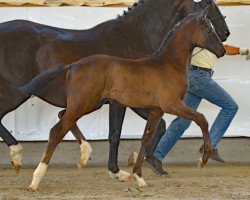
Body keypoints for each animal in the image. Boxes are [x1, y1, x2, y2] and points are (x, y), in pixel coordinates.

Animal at [0, 0, 229, 174]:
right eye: (207, 4)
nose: (225, 34)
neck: (133, 37)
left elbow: (159, 126)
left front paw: (147, 160)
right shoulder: (125, 102)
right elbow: (115, 134)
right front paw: (122, 166)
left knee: (62, 117)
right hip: (16, 94)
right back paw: (17, 154)